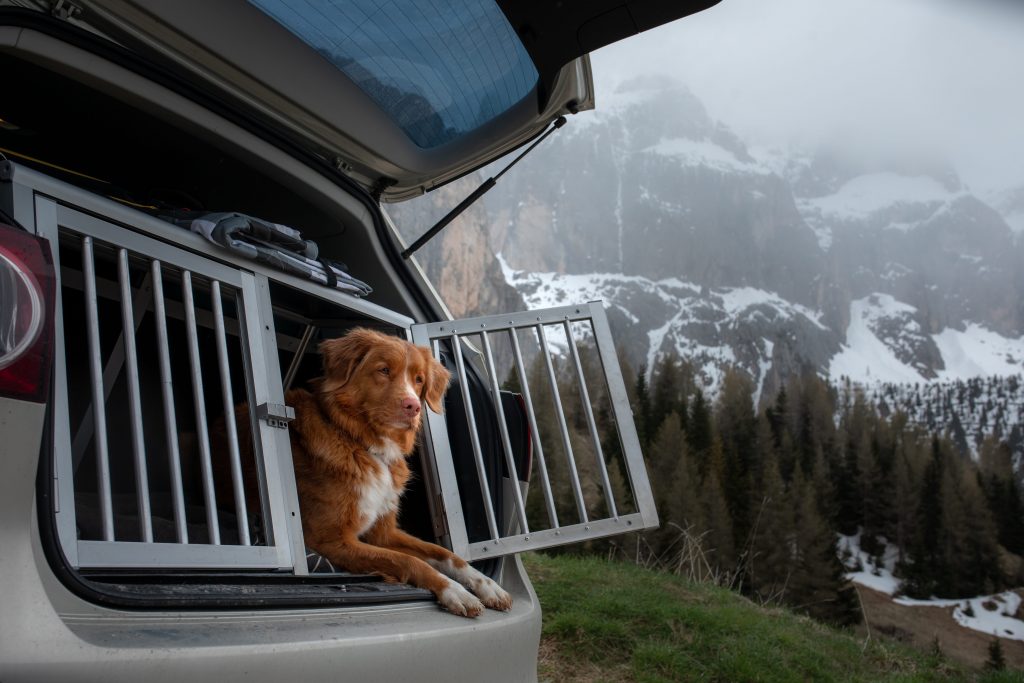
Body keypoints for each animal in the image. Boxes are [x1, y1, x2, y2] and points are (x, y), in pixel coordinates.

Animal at [276, 327, 512, 618]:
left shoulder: (383, 532)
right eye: (384, 370)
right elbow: (409, 560)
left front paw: (487, 585)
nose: (413, 406)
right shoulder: (330, 539)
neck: (363, 444)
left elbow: (445, 554)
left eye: (419, 380)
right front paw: (454, 591)